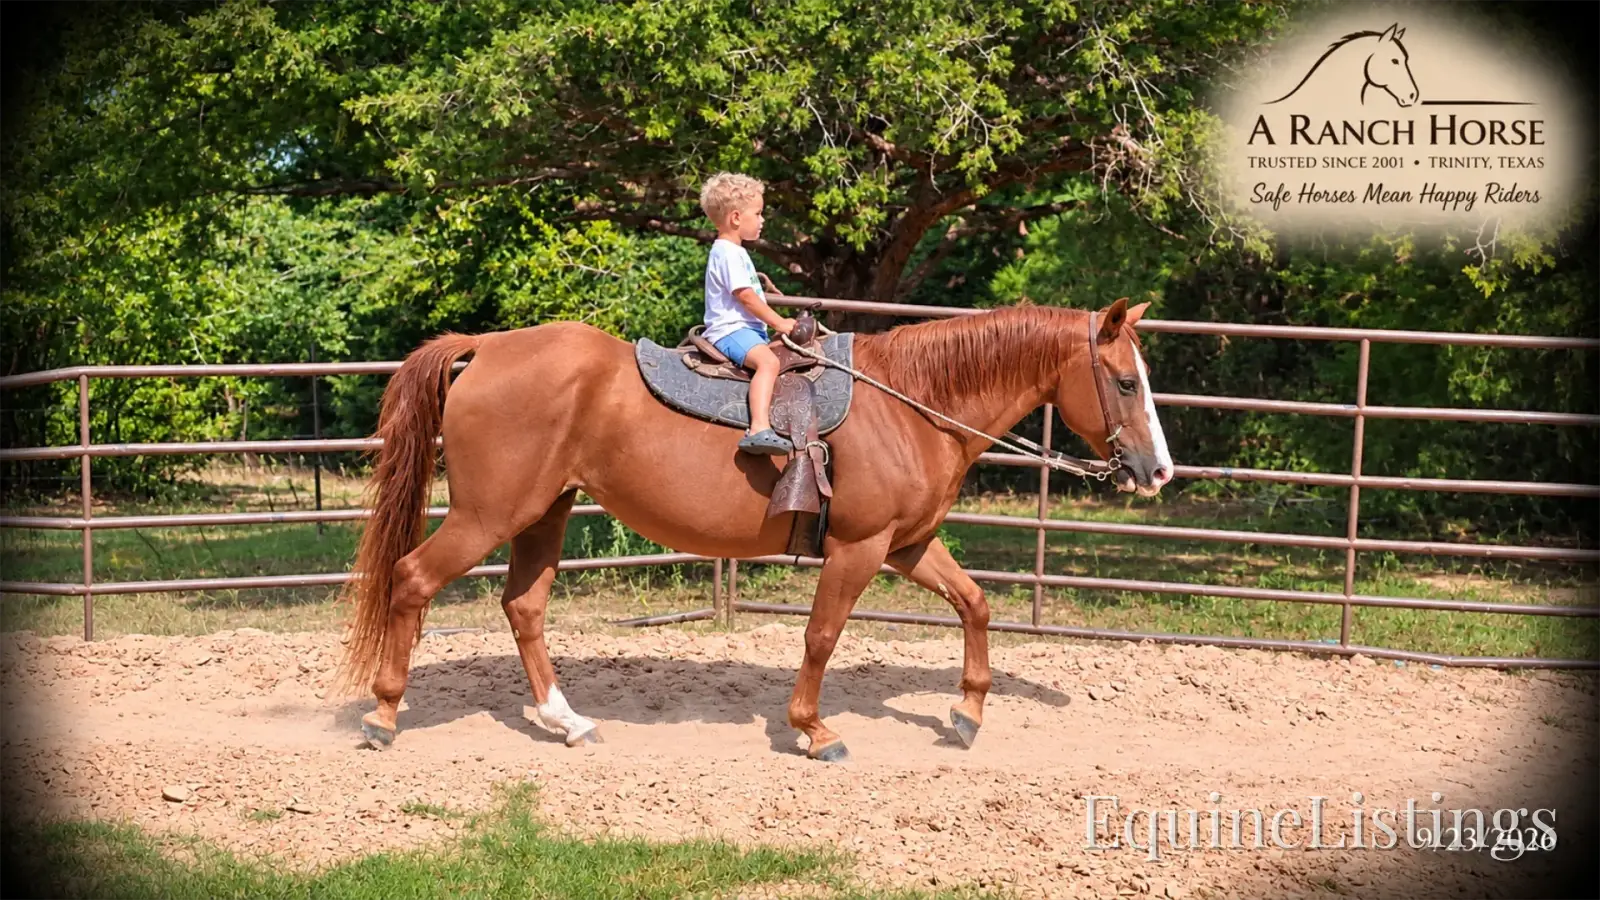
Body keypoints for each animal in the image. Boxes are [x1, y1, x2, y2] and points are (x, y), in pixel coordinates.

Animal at [333, 297, 1174, 762]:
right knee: (412, 580)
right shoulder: (860, 549)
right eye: (1125, 382)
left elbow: (975, 604)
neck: (910, 403)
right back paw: (382, 716)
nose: (1158, 470)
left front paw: (966, 715)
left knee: (524, 609)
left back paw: (568, 723)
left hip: (545, 512)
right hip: (487, 516)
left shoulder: (906, 546)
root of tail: (488, 348)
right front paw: (814, 730)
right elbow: (822, 636)